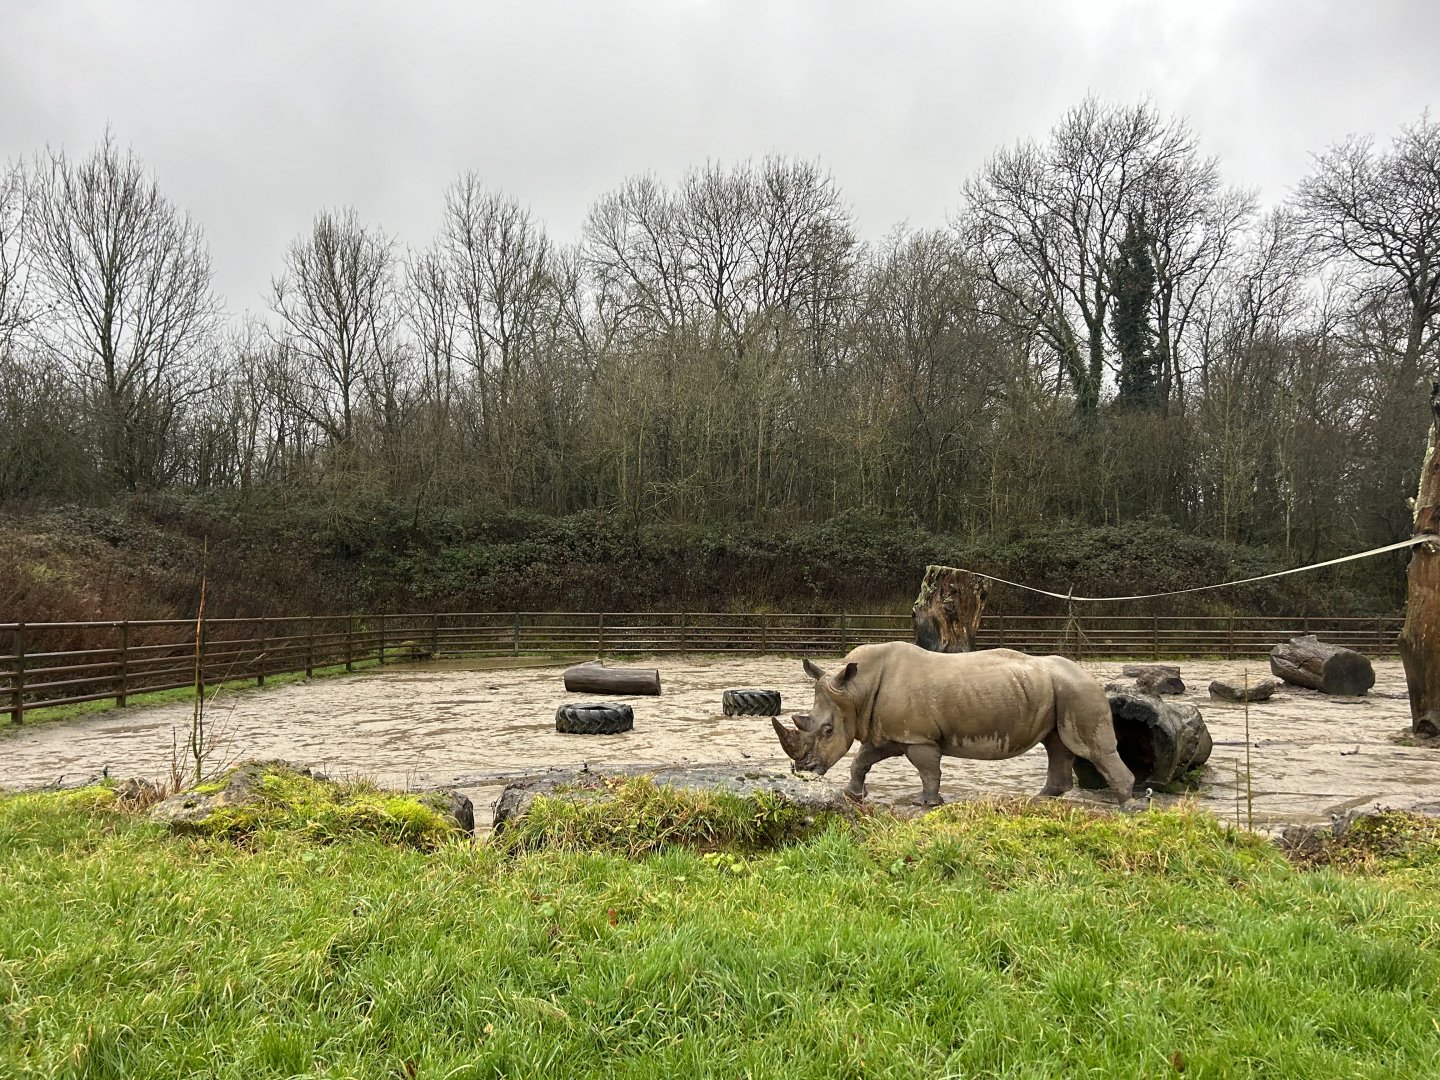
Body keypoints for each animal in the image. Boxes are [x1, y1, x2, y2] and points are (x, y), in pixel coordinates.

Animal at [770, 642, 1134, 806]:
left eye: (828, 731)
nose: (803, 770)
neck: (855, 691)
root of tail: (1089, 675)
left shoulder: (918, 737)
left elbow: (928, 770)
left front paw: (926, 803)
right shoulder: (892, 732)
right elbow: (862, 759)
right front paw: (853, 794)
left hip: (1078, 691)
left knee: (1092, 748)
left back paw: (1126, 806)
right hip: (1059, 691)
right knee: (1056, 744)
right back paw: (1041, 799)